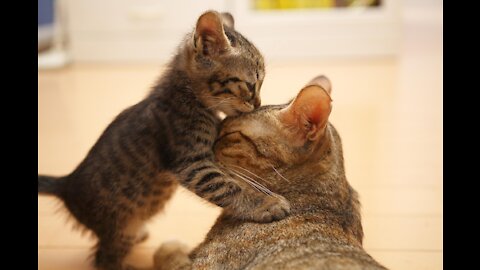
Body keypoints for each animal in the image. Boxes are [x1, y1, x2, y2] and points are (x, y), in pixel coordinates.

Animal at [37, 10, 290, 270]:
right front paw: (265, 203)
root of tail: (67, 184)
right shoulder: (191, 162)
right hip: (121, 225)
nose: (258, 103)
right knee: (103, 259)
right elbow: (227, 186)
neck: (189, 98)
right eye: (251, 84)